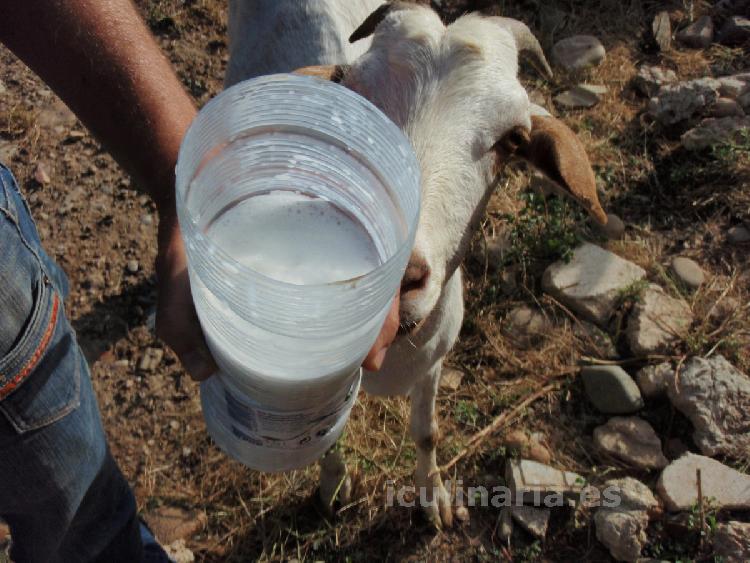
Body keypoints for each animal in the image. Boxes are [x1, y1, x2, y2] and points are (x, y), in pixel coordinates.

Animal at [226, 1, 608, 528]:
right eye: (346, 88)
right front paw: (334, 488)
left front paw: (434, 500)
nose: (386, 275)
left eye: (513, 139)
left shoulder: (435, 360)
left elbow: (426, 431)